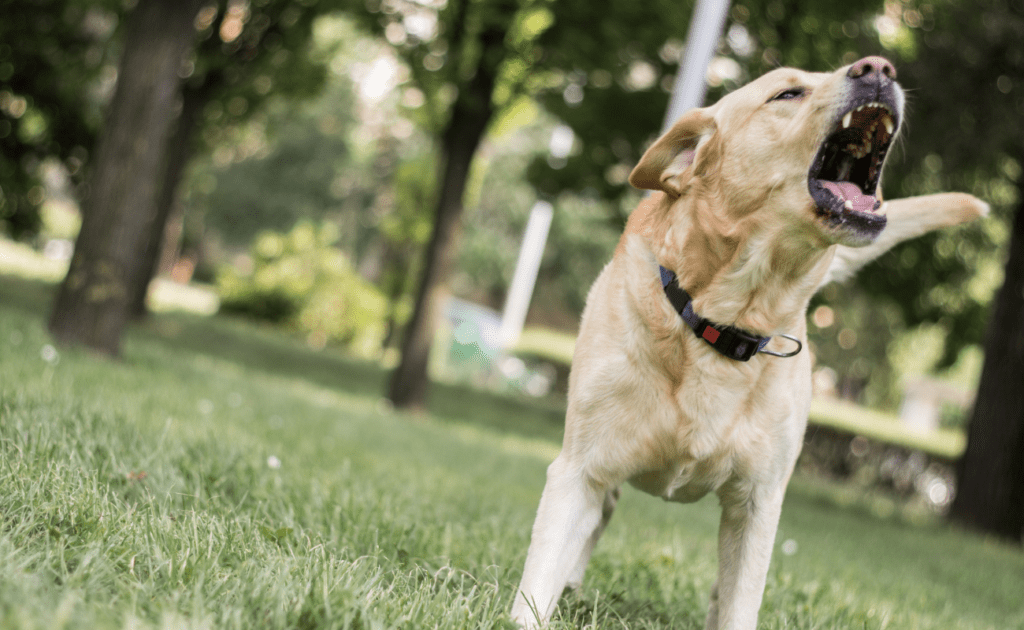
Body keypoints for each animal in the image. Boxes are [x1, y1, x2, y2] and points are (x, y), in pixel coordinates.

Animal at [512, 56, 991, 626]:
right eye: (787, 93)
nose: (879, 67)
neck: (723, 321)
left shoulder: (758, 504)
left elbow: (742, 597)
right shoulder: (578, 471)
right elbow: (539, 578)